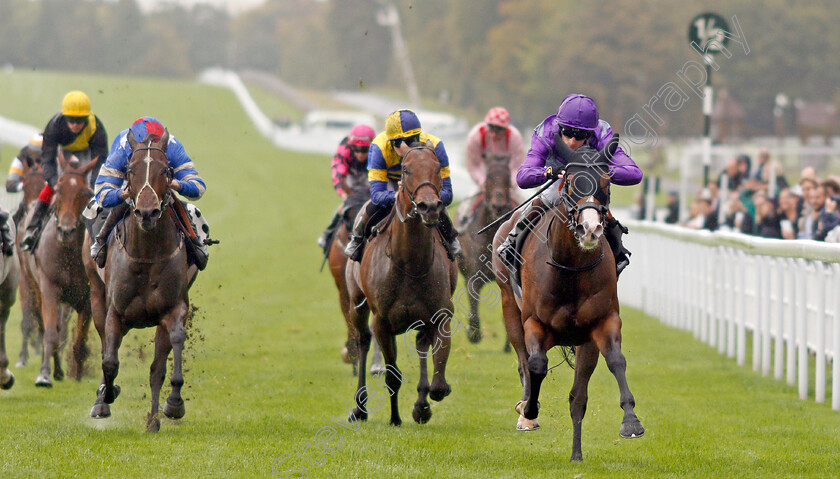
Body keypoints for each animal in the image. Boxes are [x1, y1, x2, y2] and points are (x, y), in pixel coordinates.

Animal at [22, 152, 98, 388]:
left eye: (85, 193)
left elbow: (79, 339)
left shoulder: (87, 297)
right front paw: (45, 374)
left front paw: (78, 374)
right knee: (46, 326)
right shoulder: (49, 288)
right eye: (59, 189)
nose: (66, 231)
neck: (68, 253)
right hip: (33, 285)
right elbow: (51, 333)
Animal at [85, 129, 199, 434]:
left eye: (166, 170)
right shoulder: (115, 312)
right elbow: (109, 361)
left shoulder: (174, 308)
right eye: (130, 171)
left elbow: (170, 352)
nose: (147, 213)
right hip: (96, 295)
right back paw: (103, 398)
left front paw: (174, 404)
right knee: (105, 345)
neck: (147, 254)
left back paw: (153, 421)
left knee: (156, 368)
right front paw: (106, 396)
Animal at [344, 142, 456, 428]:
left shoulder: (441, 314)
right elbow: (392, 375)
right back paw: (360, 408)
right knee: (362, 341)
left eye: (437, 167)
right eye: (405, 169)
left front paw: (422, 406)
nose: (429, 206)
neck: (410, 264)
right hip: (357, 305)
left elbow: (439, 384)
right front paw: (395, 418)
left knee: (421, 344)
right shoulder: (382, 322)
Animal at [456, 156, 516, 346]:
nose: (498, 206)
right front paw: (474, 333)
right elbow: (472, 298)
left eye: (508, 176)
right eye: (489, 176)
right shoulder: (473, 274)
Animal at [492, 138, 644, 462]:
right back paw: (526, 410)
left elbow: (615, 361)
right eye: (572, 181)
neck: (571, 269)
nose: (590, 229)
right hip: (509, 305)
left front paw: (631, 421)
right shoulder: (534, 322)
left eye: (606, 183)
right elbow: (536, 365)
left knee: (578, 396)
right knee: (524, 361)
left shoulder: (602, 323)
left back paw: (576, 454)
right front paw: (530, 411)